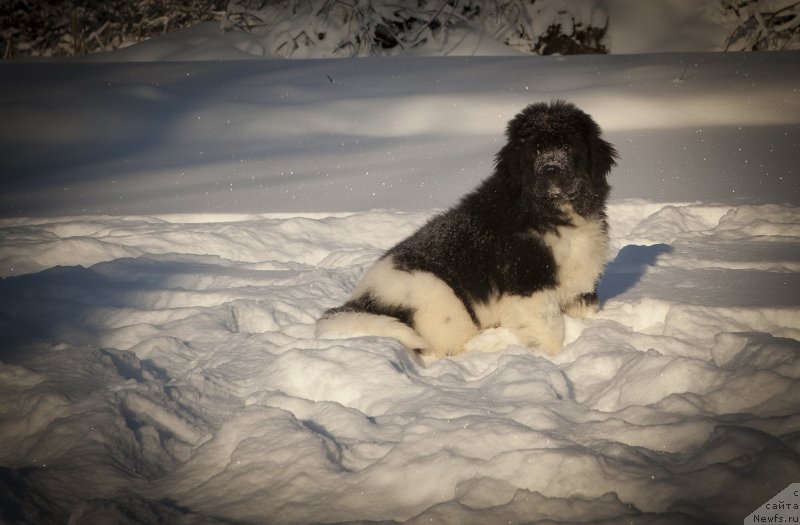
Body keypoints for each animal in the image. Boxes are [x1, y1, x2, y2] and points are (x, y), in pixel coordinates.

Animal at [316, 100, 616, 358]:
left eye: (567, 146)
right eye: (535, 151)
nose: (551, 169)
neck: (549, 212)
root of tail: (361, 299)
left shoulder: (580, 281)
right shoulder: (529, 283)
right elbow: (550, 328)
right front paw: (552, 357)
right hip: (440, 298)